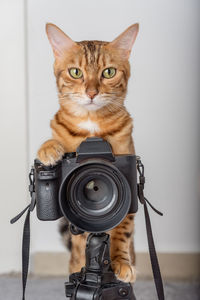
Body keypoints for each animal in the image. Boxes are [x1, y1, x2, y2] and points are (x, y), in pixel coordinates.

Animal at [36, 22, 138, 282]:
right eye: (75, 72)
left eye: (109, 73)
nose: (91, 93)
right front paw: (48, 148)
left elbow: (123, 229)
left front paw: (121, 262)